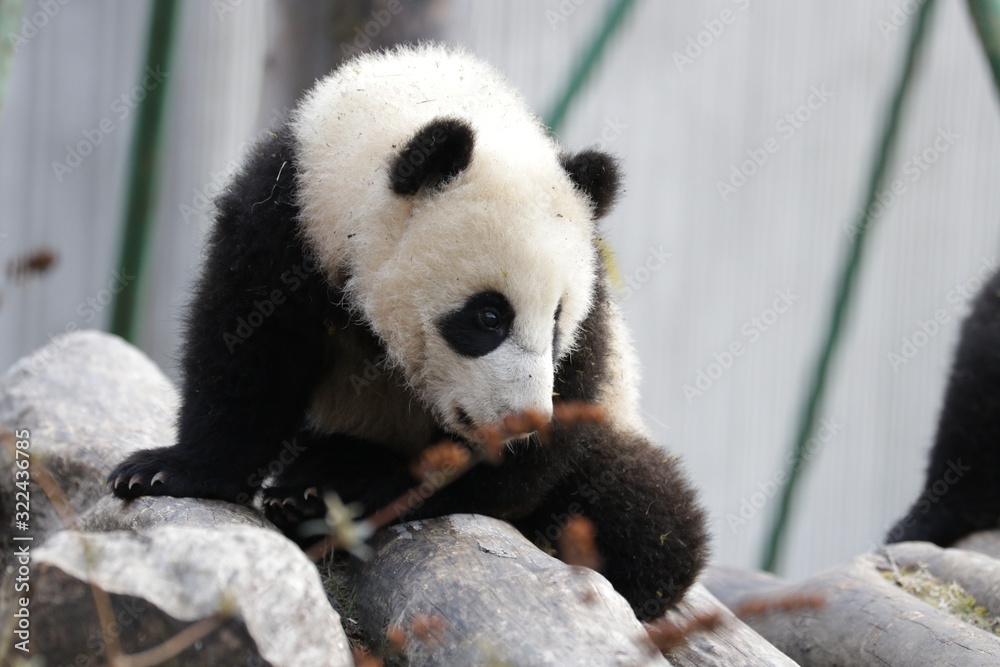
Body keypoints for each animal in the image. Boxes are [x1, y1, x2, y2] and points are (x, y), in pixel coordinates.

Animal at [108, 43, 707, 620]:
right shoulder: (284, 215)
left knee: (646, 509)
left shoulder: (594, 318)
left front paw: (367, 493)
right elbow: (245, 349)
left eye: (558, 320)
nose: (523, 420)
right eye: (489, 316)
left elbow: (534, 459)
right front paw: (169, 472)